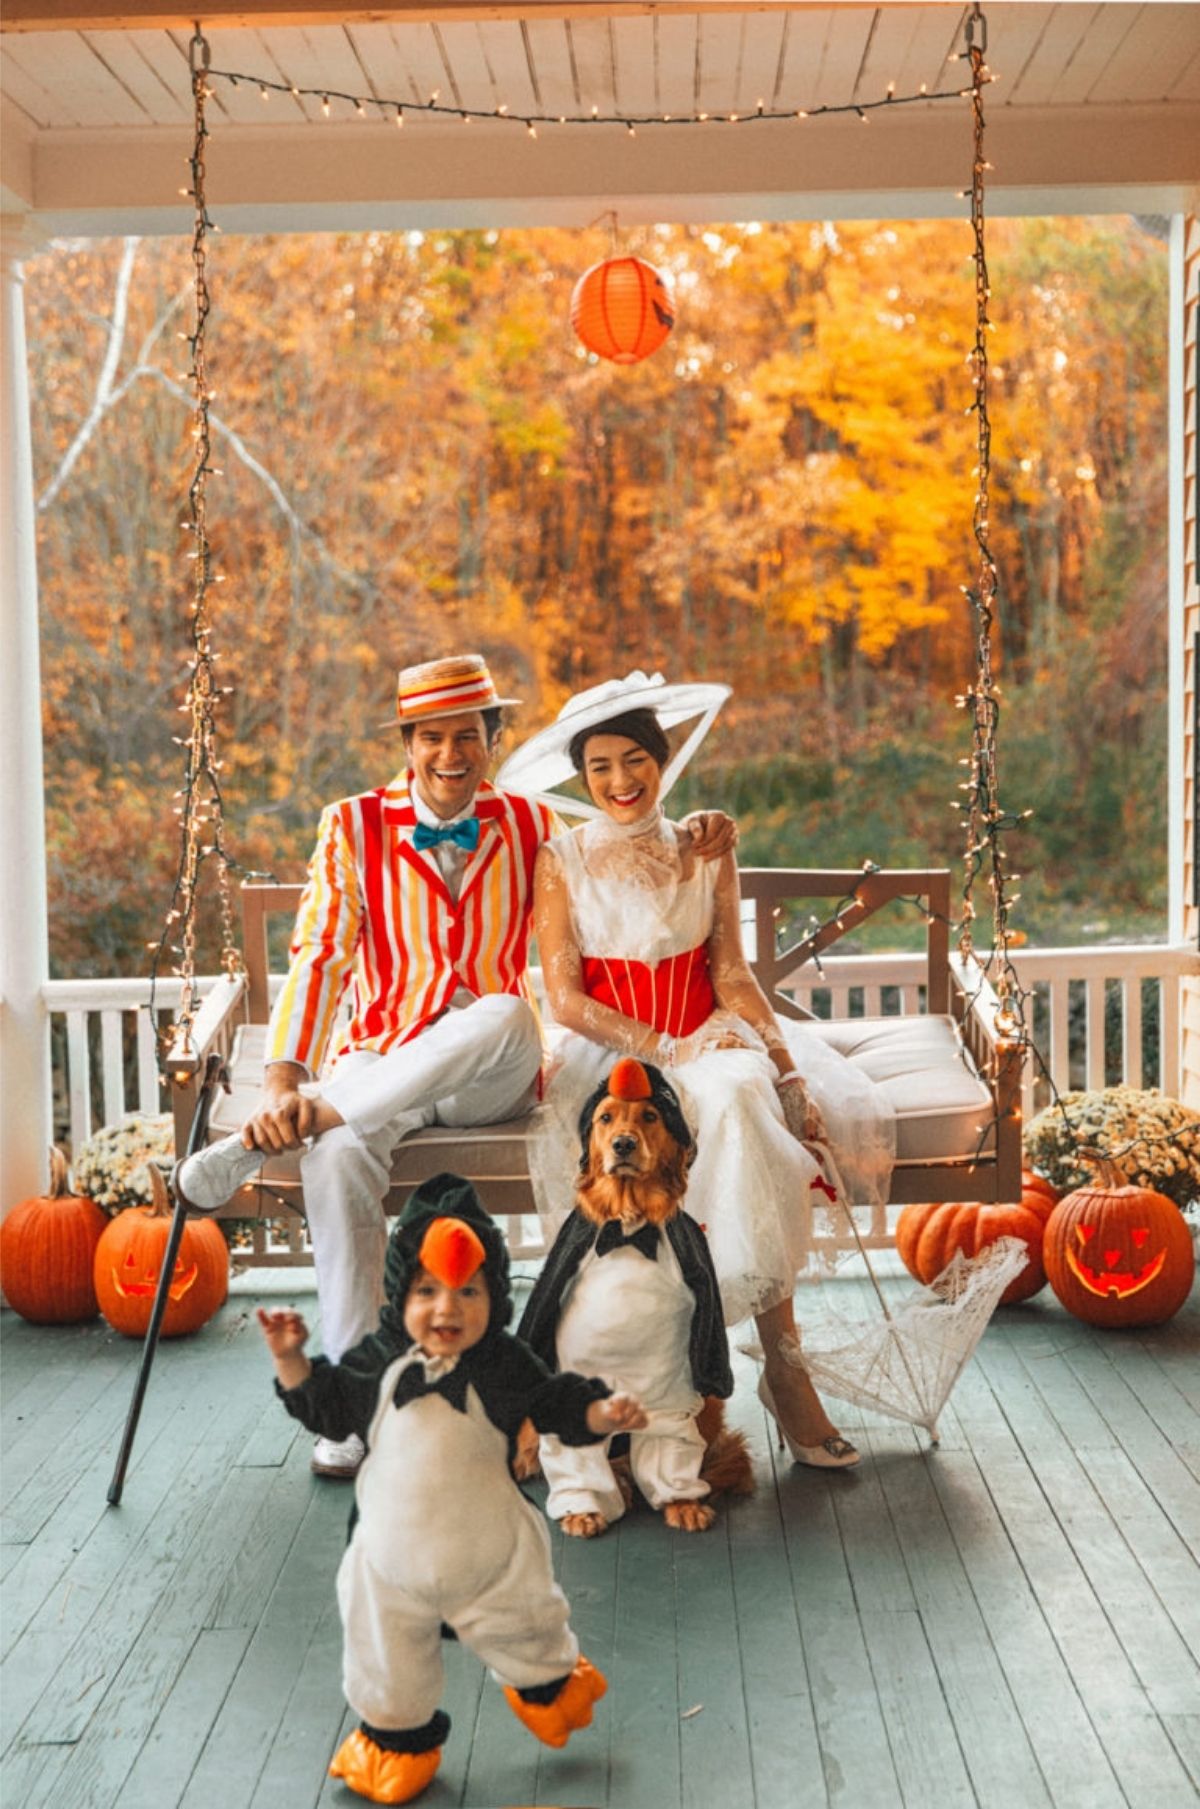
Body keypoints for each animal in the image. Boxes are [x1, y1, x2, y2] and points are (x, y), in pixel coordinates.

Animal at [517, 1056, 752, 1541]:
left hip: (694, 1406)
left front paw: (684, 1505)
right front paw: (582, 1511)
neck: (627, 1227)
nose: (624, 1144)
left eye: (650, 1116)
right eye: (605, 1118)